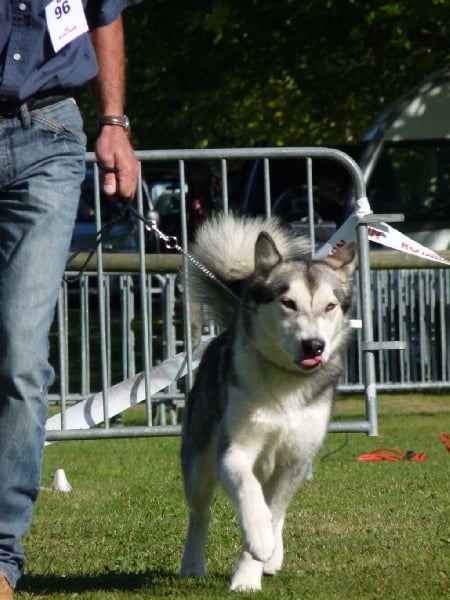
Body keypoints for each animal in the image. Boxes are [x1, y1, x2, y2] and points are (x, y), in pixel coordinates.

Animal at [179, 213, 356, 592]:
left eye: (330, 306)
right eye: (288, 303)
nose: (314, 345)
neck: (286, 385)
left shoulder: (296, 459)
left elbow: (274, 512)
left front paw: (252, 570)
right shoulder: (233, 451)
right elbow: (250, 498)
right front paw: (258, 543)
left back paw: (273, 557)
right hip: (198, 463)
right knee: (201, 513)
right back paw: (193, 564)